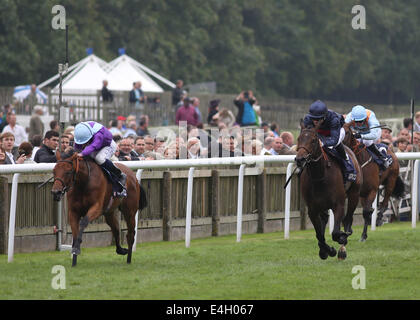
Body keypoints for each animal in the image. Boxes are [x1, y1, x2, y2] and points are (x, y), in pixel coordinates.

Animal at [294, 122, 362, 260]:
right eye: (299, 139)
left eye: (313, 140)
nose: (300, 159)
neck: (320, 176)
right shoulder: (312, 210)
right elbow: (319, 235)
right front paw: (327, 250)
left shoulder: (338, 204)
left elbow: (335, 232)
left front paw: (341, 240)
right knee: (325, 220)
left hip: (354, 194)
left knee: (348, 219)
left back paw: (343, 245)